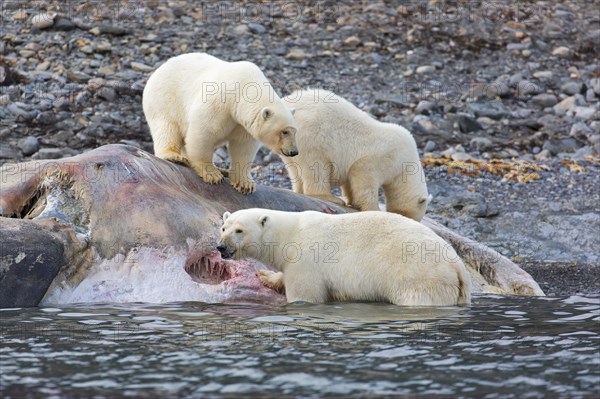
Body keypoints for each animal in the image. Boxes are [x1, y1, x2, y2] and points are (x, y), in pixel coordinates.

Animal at [143, 53, 298, 195]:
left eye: (294, 131)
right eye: (284, 132)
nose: (294, 152)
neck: (244, 88)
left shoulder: (242, 124)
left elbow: (243, 147)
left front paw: (244, 183)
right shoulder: (219, 103)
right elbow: (203, 133)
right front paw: (211, 174)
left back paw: (222, 170)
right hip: (164, 100)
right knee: (167, 127)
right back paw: (175, 157)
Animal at [218, 209, 472, 306]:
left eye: (239, 230)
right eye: (223, 227)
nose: (221, 247)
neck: (289, 233)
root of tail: (457, 266)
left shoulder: (305, 261)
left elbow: (305, 295)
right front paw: (265, 274)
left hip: (420, 277)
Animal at [282, 88, 428, 222]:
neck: (406, 162)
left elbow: (350, 181)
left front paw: (352, 202)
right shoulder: (383, 156)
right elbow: (364, 177)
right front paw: (373, 209)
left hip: (290, 145)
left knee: (295, 169)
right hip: (312, 136)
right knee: (317, 167)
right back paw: (329, 197)